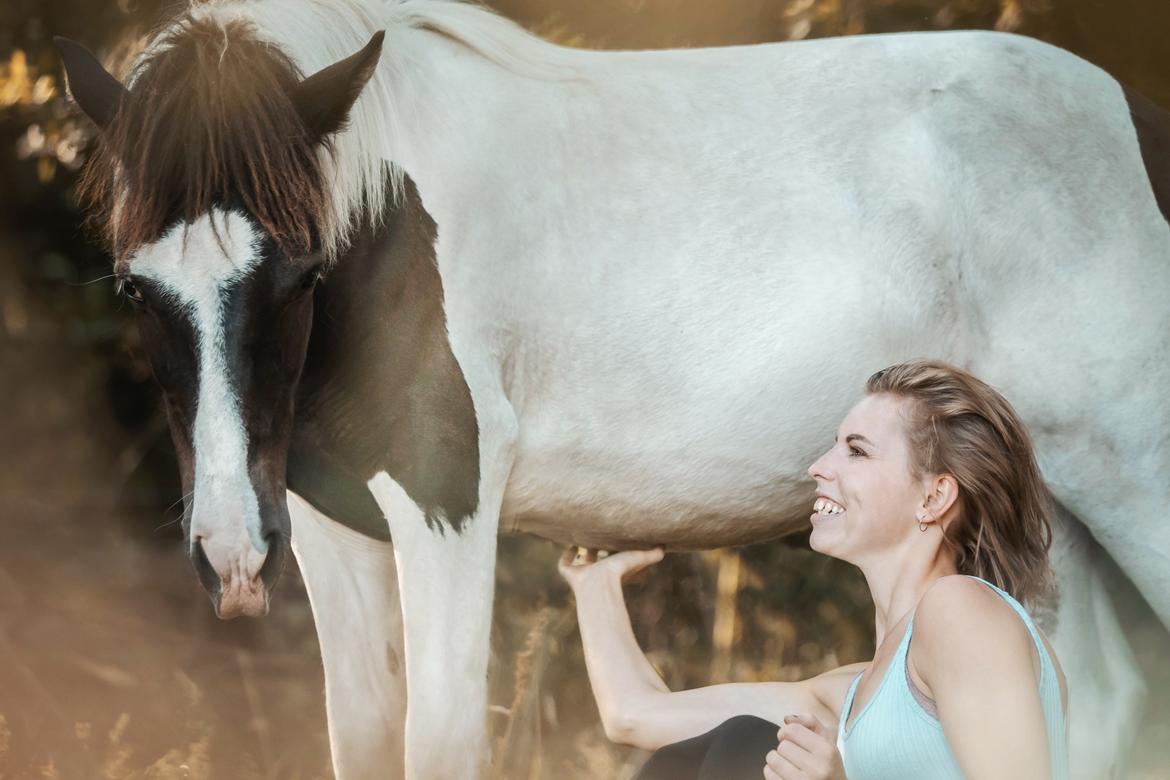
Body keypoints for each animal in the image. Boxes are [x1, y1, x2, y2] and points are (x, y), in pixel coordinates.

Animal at [59, 3, 1165, 776]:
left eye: (297, 276)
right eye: (136, 287)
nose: (230, 558)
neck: (384, 220)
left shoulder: (445, 509)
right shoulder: (330, 533)